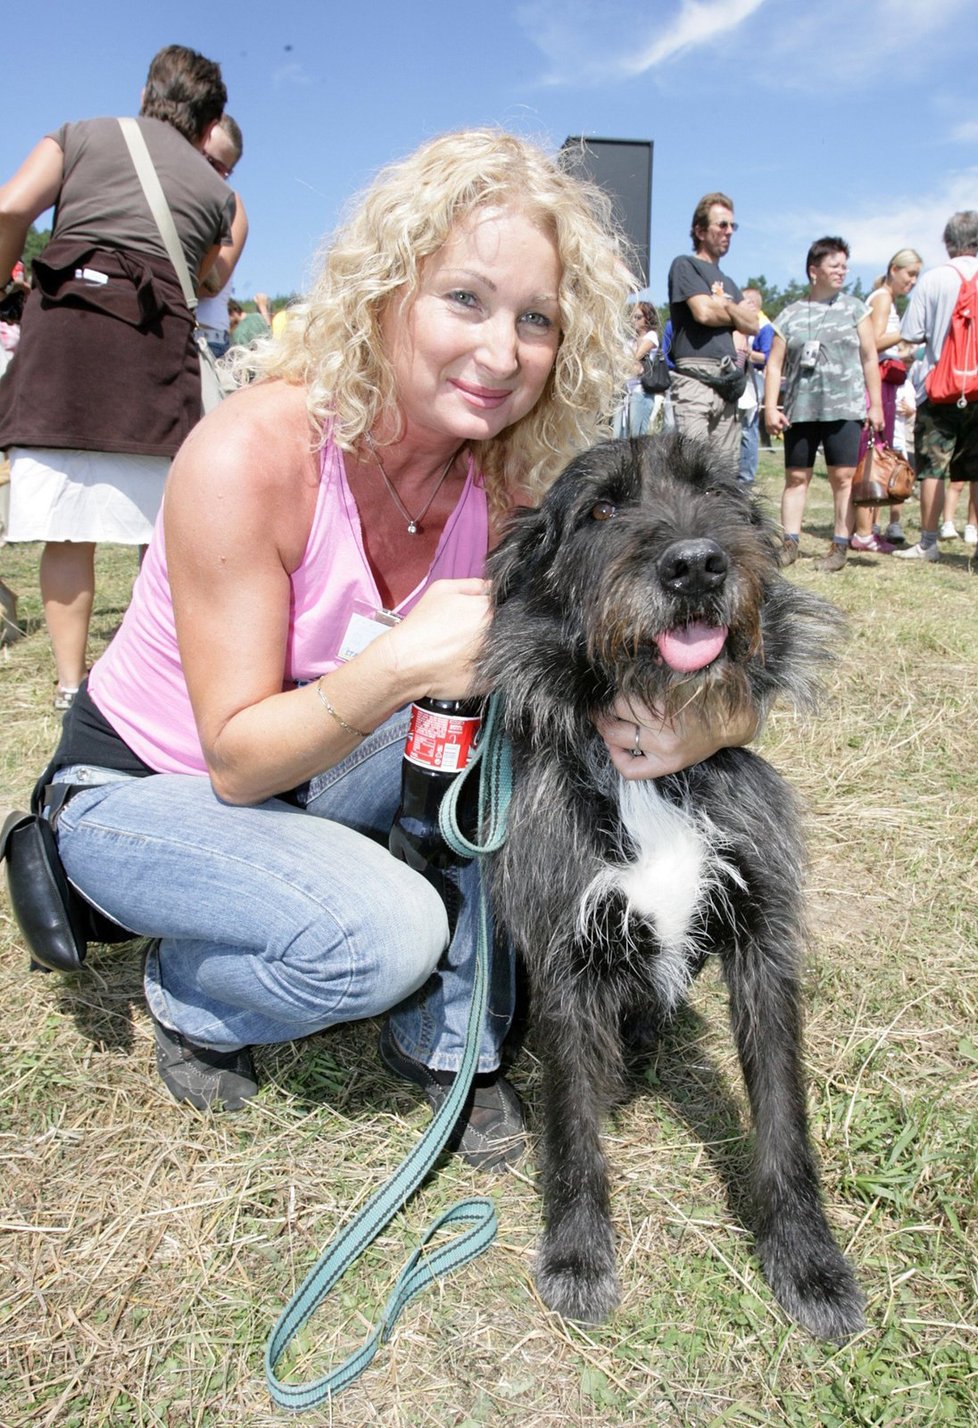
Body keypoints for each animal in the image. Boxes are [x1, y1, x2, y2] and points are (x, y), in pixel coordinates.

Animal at [479, 431, 862, 1336]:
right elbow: (572, 1127)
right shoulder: (568, 957)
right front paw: (578, 1255)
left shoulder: (763, 939)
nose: (695, 566)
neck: (650, 773)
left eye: (716, 492)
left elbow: (782, 1114)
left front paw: (809, 1262)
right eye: (601, 509)